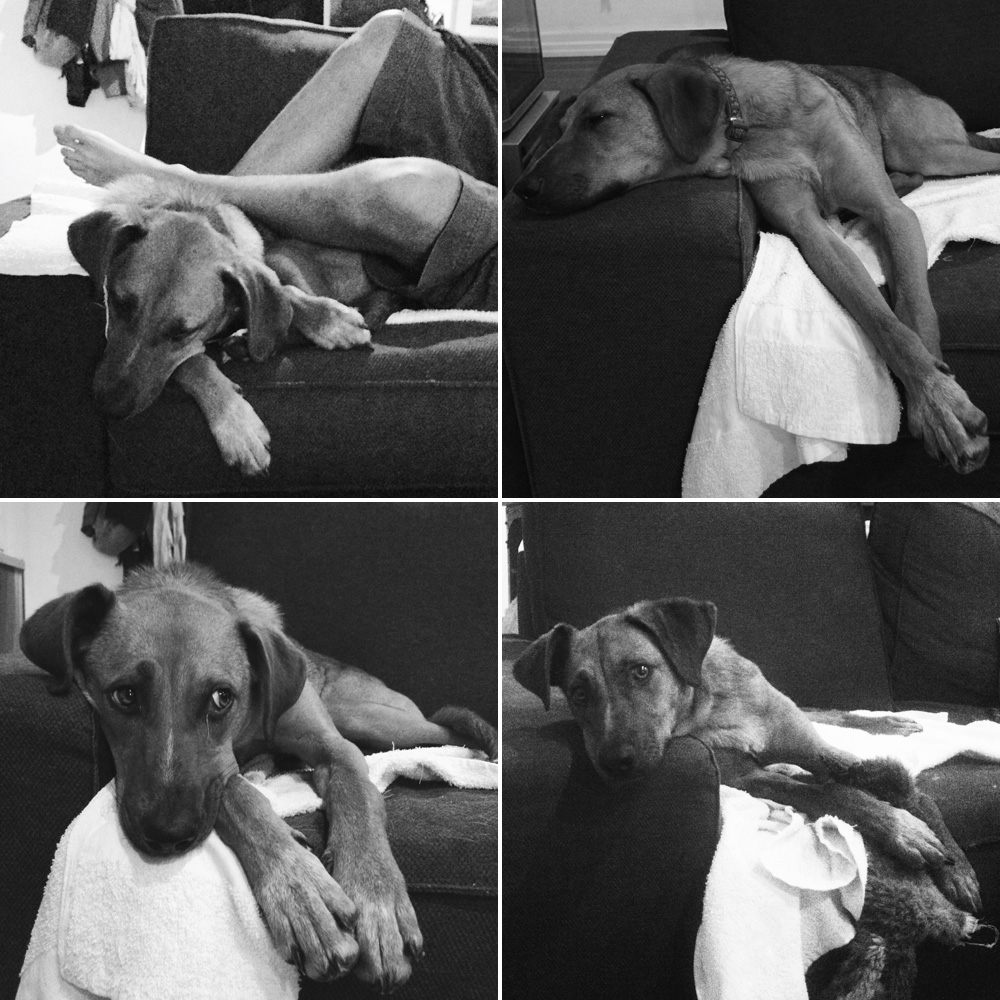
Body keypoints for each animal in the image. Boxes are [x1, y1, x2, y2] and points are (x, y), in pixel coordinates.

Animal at [19, 564, 496, 992]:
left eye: (221, 698)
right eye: (125, 695)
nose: (168, 835)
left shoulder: (335, 748)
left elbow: (357, 799)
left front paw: (377, 901)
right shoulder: (219, 776)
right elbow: (235, 792)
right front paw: (300, 890)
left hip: (366, 718)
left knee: (443, 728)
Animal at [66, 174, 392, 478]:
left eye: (183, 331)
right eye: (119, 302)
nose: (110, 406)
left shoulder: (254, 274)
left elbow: (282, 293)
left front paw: (330, 317)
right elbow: (193, 363)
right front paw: (235, 423)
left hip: (283, 256)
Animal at [516, 54, 1000, 476]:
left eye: (599, 119)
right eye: (558, 131)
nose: (522, 188)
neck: (745, 124)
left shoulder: (893, 216)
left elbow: (915, 310)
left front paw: (939, 400)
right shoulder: (812, 233)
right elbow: (883, 321)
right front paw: (935, 395)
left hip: (927, 149)